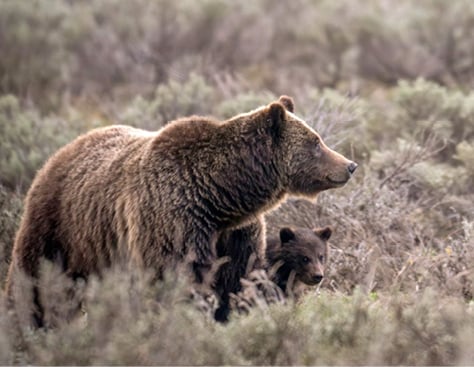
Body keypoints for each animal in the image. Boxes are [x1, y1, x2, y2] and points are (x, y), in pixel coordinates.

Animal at [6, 95, 356, 328]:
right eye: (316, 142)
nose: (349, 165)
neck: (221, 197)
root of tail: (63, 150)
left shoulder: (237, 235)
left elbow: (236, 282)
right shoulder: (174, 221)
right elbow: (176, 278)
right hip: (58, 225)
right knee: (33, 280)